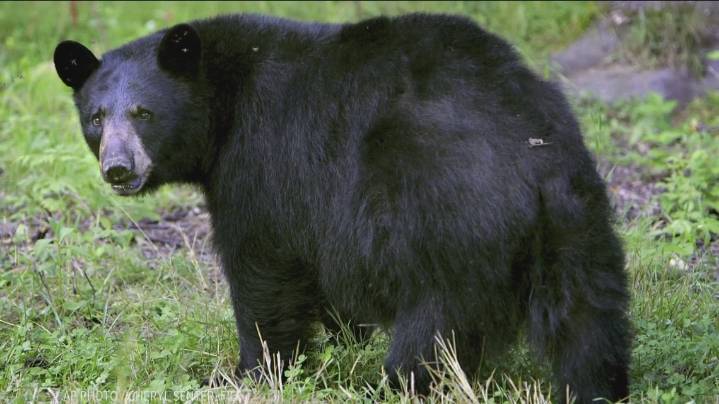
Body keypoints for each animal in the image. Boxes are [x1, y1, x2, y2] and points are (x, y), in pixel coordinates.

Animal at [54, 13, 631, 403]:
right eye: (96, 117)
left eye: (144, 112)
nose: (118, 168)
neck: (223, 104)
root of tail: (527, 156)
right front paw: (341, 340)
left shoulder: (263, 163)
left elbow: (262, 269)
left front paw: (251, 371)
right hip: (577, 222)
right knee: (588, 320)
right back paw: (598, 387)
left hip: (447, 222)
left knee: (434, 330)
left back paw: (392, 384)